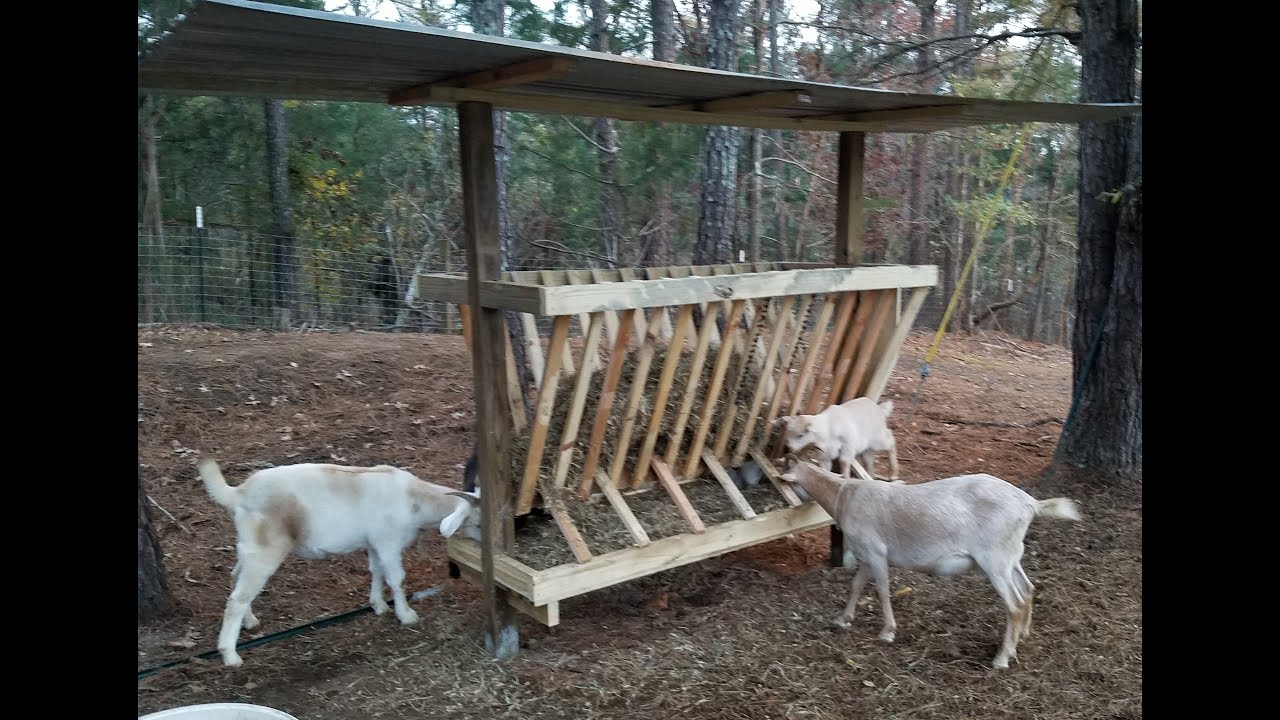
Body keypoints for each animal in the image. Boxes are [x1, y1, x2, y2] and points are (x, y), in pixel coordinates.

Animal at [197, 456, 482, 667]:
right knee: (237, 598)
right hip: (264, 549)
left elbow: (376, 571)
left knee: (235, 579)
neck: (414, 500)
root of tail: (238, 493)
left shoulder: (375, 542)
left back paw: (249, 622)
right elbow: (396, 579)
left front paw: (378, 605)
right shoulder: (388, 541)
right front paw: (406, 615)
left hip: (249, 547)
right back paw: (230, 654)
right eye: (477, 522)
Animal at [779, 460, 1083, 669]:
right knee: (1028, 589)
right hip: (1010, 555)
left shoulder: (876, 552)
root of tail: (1031, 503)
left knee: (1014, 604)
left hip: (994, 557)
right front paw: (843, 619)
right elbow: (855, 585)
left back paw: (1002, 657)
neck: (843, 496)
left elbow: (882, 591)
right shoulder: (868, 555)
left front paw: (887, 632)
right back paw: (1023, 636)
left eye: (790, 481)